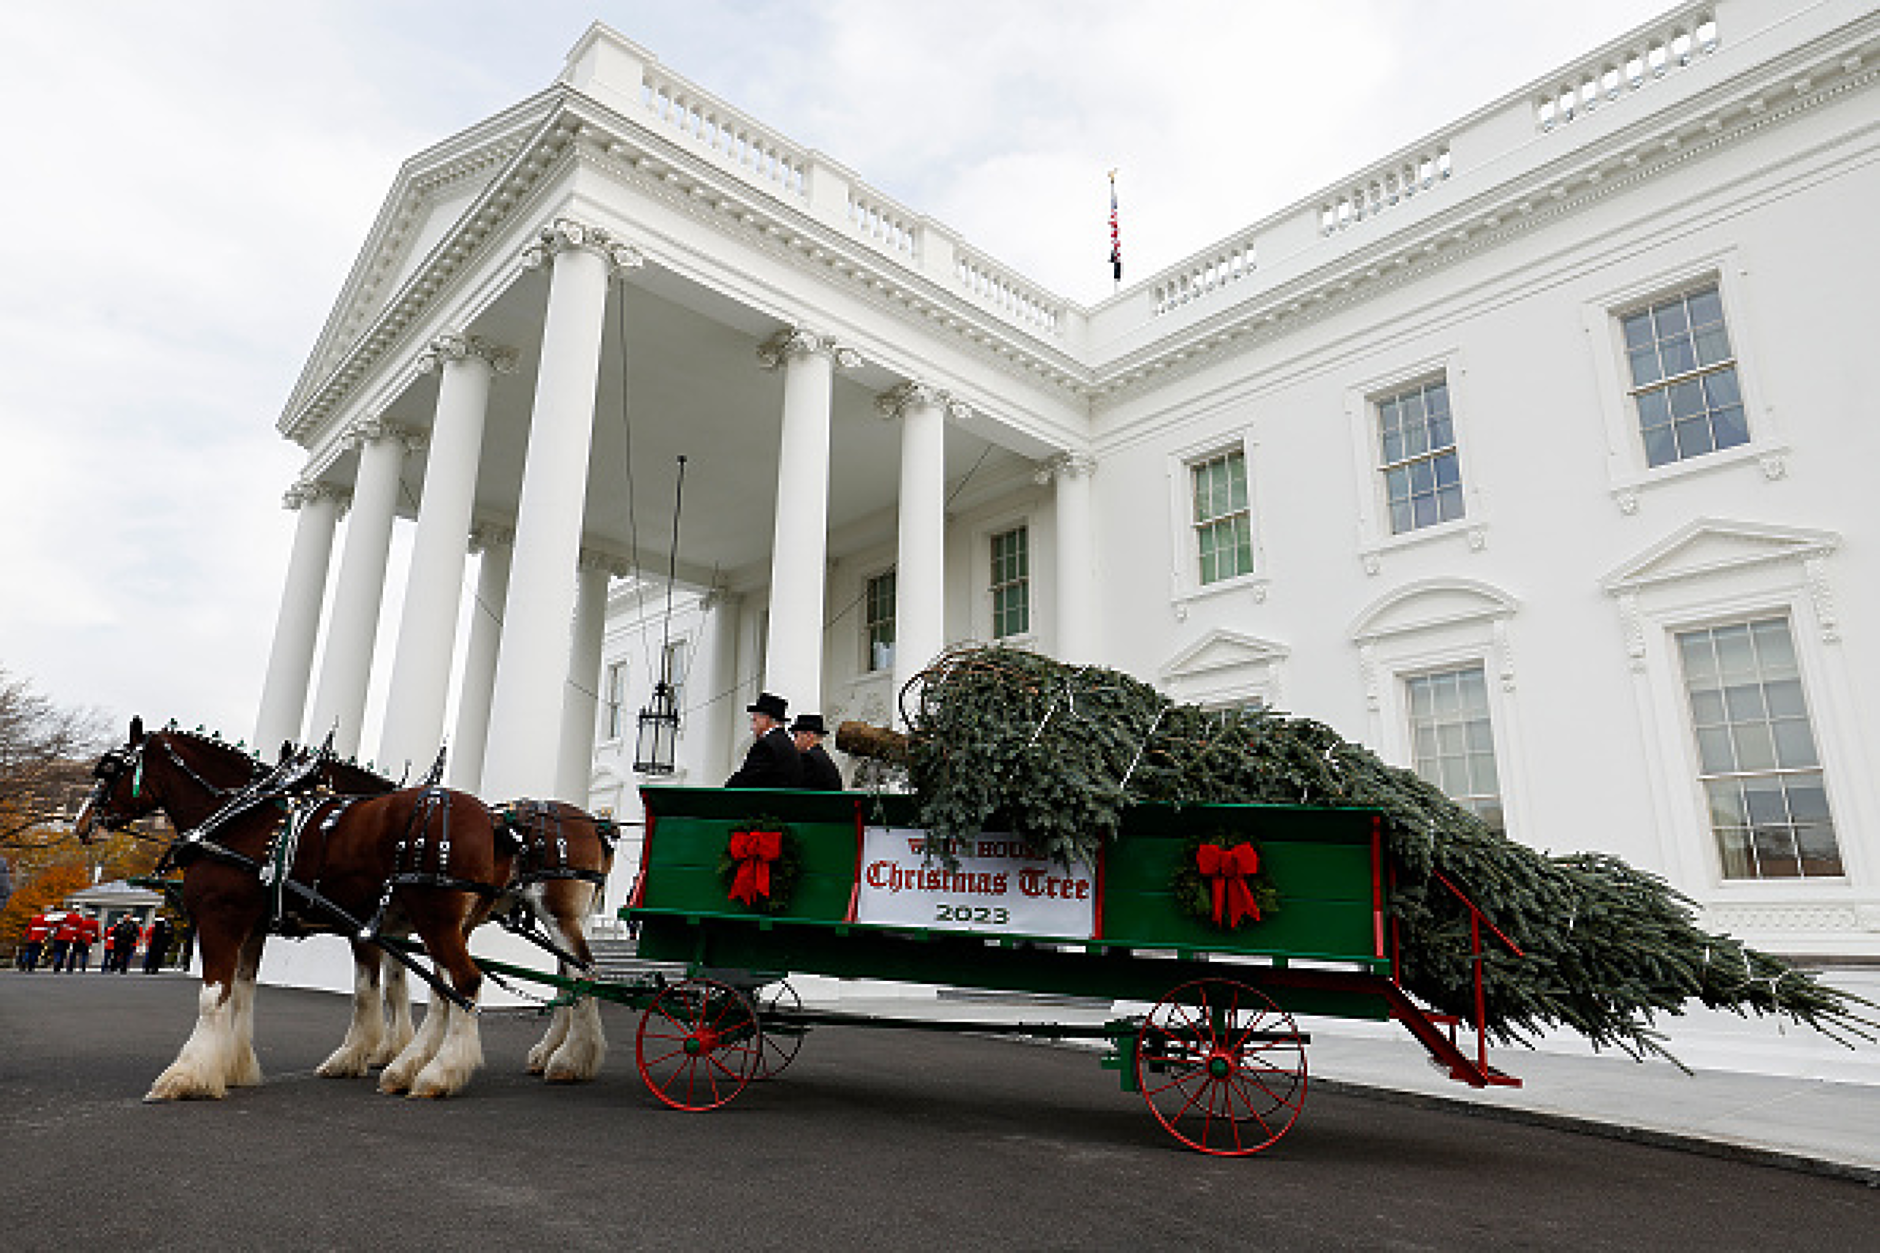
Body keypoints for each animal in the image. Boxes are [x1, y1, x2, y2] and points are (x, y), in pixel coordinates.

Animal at [77, 722, 515, 1091]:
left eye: (109, 769)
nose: (82, 824)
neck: (242, 820)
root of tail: (490, 819)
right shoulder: (257, 927)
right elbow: (243, 993)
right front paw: (235, 1066)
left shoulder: (222, 918)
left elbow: (213, 995)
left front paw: (187, 1075)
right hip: (449, 924)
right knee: (447, 988)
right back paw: (416, 1066)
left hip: (435, 919)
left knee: (464, 982)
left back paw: (439, 1072)